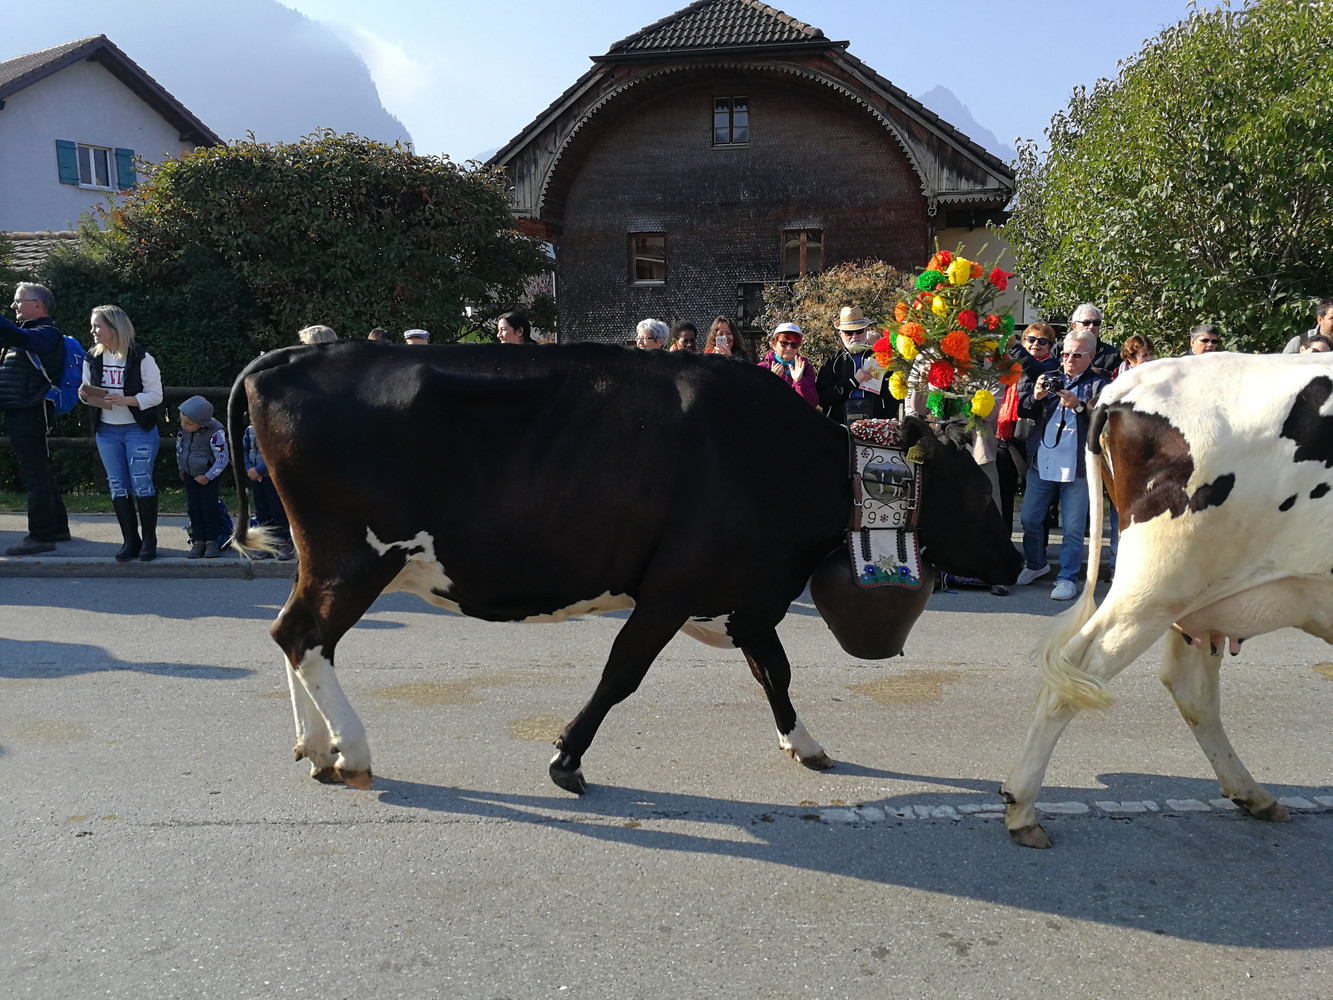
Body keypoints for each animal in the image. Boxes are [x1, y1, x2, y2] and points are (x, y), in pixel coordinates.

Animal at [227, 341, 1022, 793]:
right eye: (981, 489)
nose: (1016, 556)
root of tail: (287, 357)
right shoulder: (675, 587)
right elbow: (622, 673)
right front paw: (565, 760)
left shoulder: (744, 593)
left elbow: (775, 669)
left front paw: (804, 744)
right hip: (356, 554)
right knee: (304, 636)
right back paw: (352, 750)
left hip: (327, 557)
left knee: (294, 635)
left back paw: (317, 748)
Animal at [1001, 352, 1333, 847]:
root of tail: (1132, 382)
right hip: (1158, 584)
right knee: (1077, 672)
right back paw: (1022, 809)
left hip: (1197, 597)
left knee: (1190, 689)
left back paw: (1253, 795)